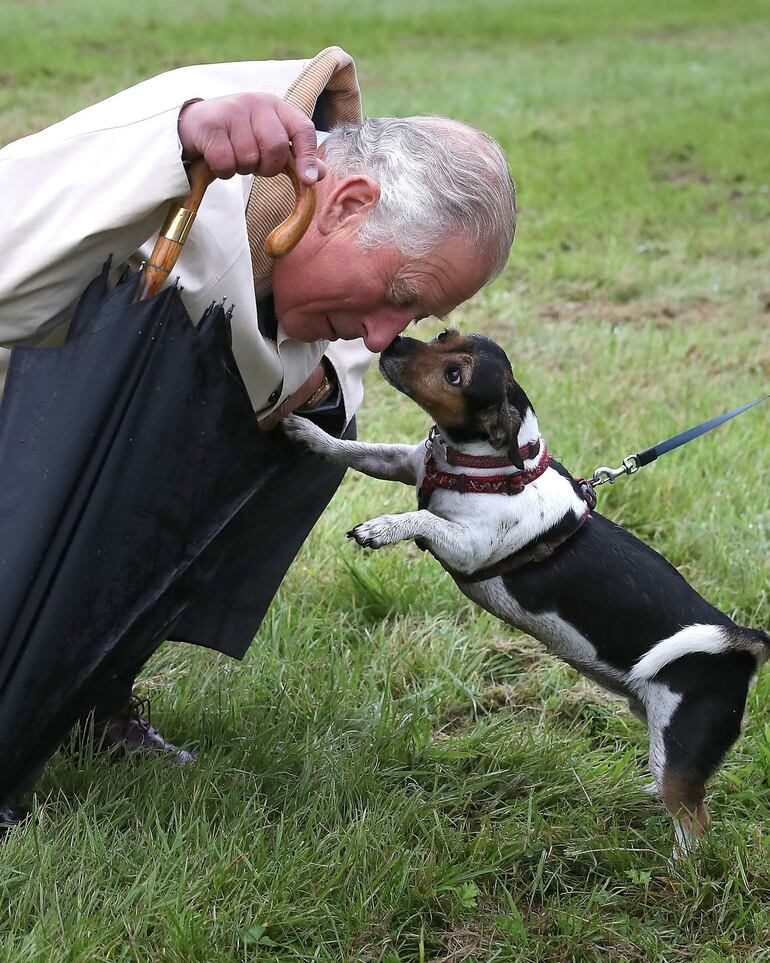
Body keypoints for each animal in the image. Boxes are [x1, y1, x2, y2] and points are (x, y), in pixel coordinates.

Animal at [280, 334, 760, 860]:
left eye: (455, 375)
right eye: (445, 336)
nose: (394, 342)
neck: (484, 465)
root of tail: (742, 642)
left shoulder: (467, 546)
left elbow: (422, 518)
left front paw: (382, 528)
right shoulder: (402, 463)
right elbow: (354, 451)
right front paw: (308, 431)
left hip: (679, 747)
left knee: (694, 822)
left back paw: (676, 870)